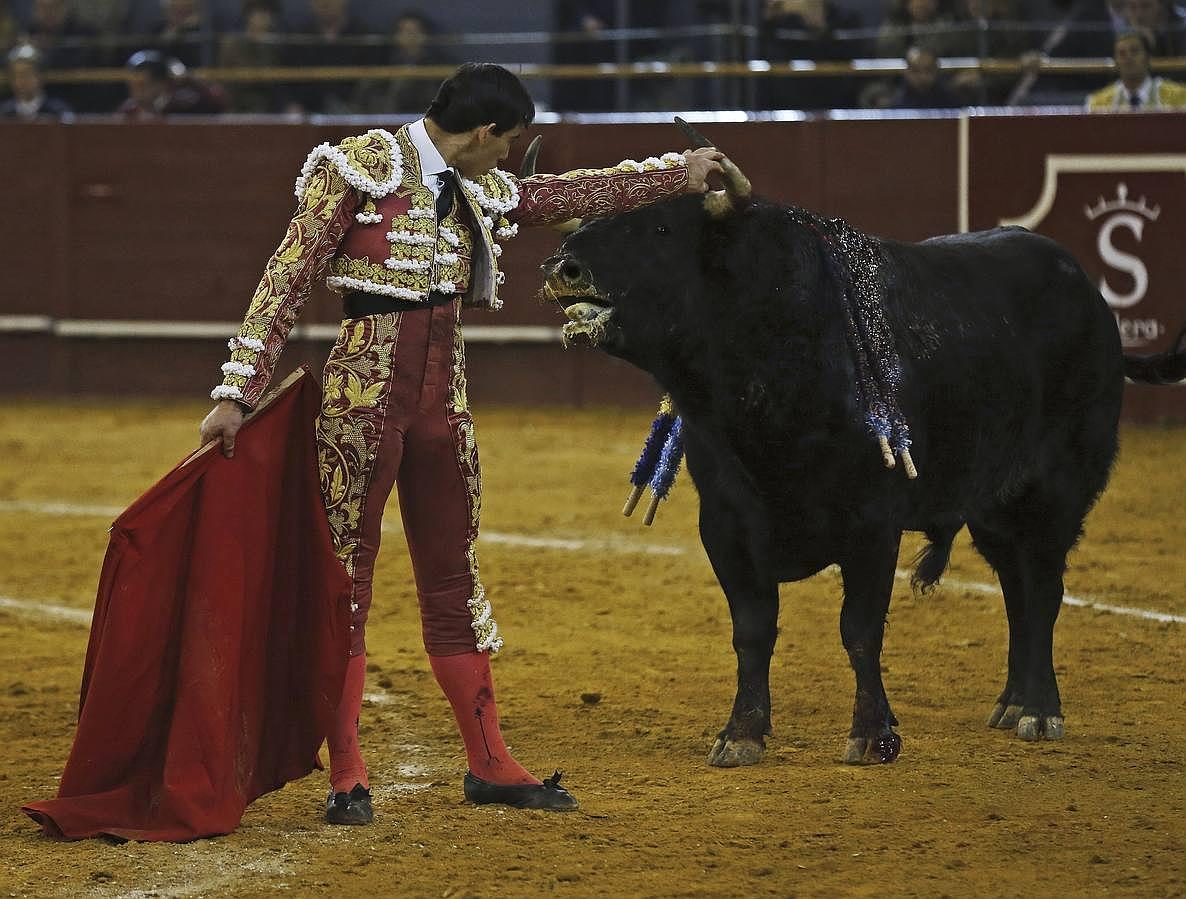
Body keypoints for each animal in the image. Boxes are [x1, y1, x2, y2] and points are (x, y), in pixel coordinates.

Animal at [540, 181, 1186, 768]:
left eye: (661, 229)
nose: (564, 267)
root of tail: (1092, 298)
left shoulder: (873, 522)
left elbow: (860, 629)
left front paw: (874, 736)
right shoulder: (725, 523)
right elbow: (752, 629)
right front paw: (741, 734)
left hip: (1056, 491)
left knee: (1045, 590)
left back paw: (1041, 711)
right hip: (992, 509)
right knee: (1016, 592)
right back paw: (1010, 702)